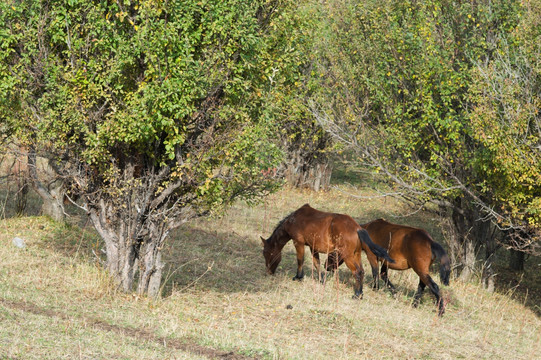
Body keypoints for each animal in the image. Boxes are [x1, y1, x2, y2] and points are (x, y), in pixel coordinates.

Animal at [260, 204, 394, 300]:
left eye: (266, 253)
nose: (268, 271)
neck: (293, 220)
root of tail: (357, 228)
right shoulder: (313, 247)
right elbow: (316, 263)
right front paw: (321, 279)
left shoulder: (298, 243)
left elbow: (300, 260)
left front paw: (298, 277)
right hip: (356, 255)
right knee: (361, 271)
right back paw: (360, 293)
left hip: (347, 256)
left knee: (357, 272)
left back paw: (357, 295)